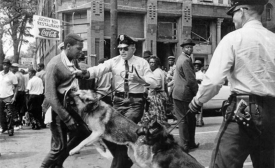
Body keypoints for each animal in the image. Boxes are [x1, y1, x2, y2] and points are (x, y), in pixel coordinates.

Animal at [68, 90, 204, 168]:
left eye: (78, 93)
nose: (70, 91)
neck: (92, 107)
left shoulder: (97, 132)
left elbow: (83, 141)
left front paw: (73, 150)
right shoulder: (95, 135)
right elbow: (94, 144)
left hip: (141, 160)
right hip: (133, 157)